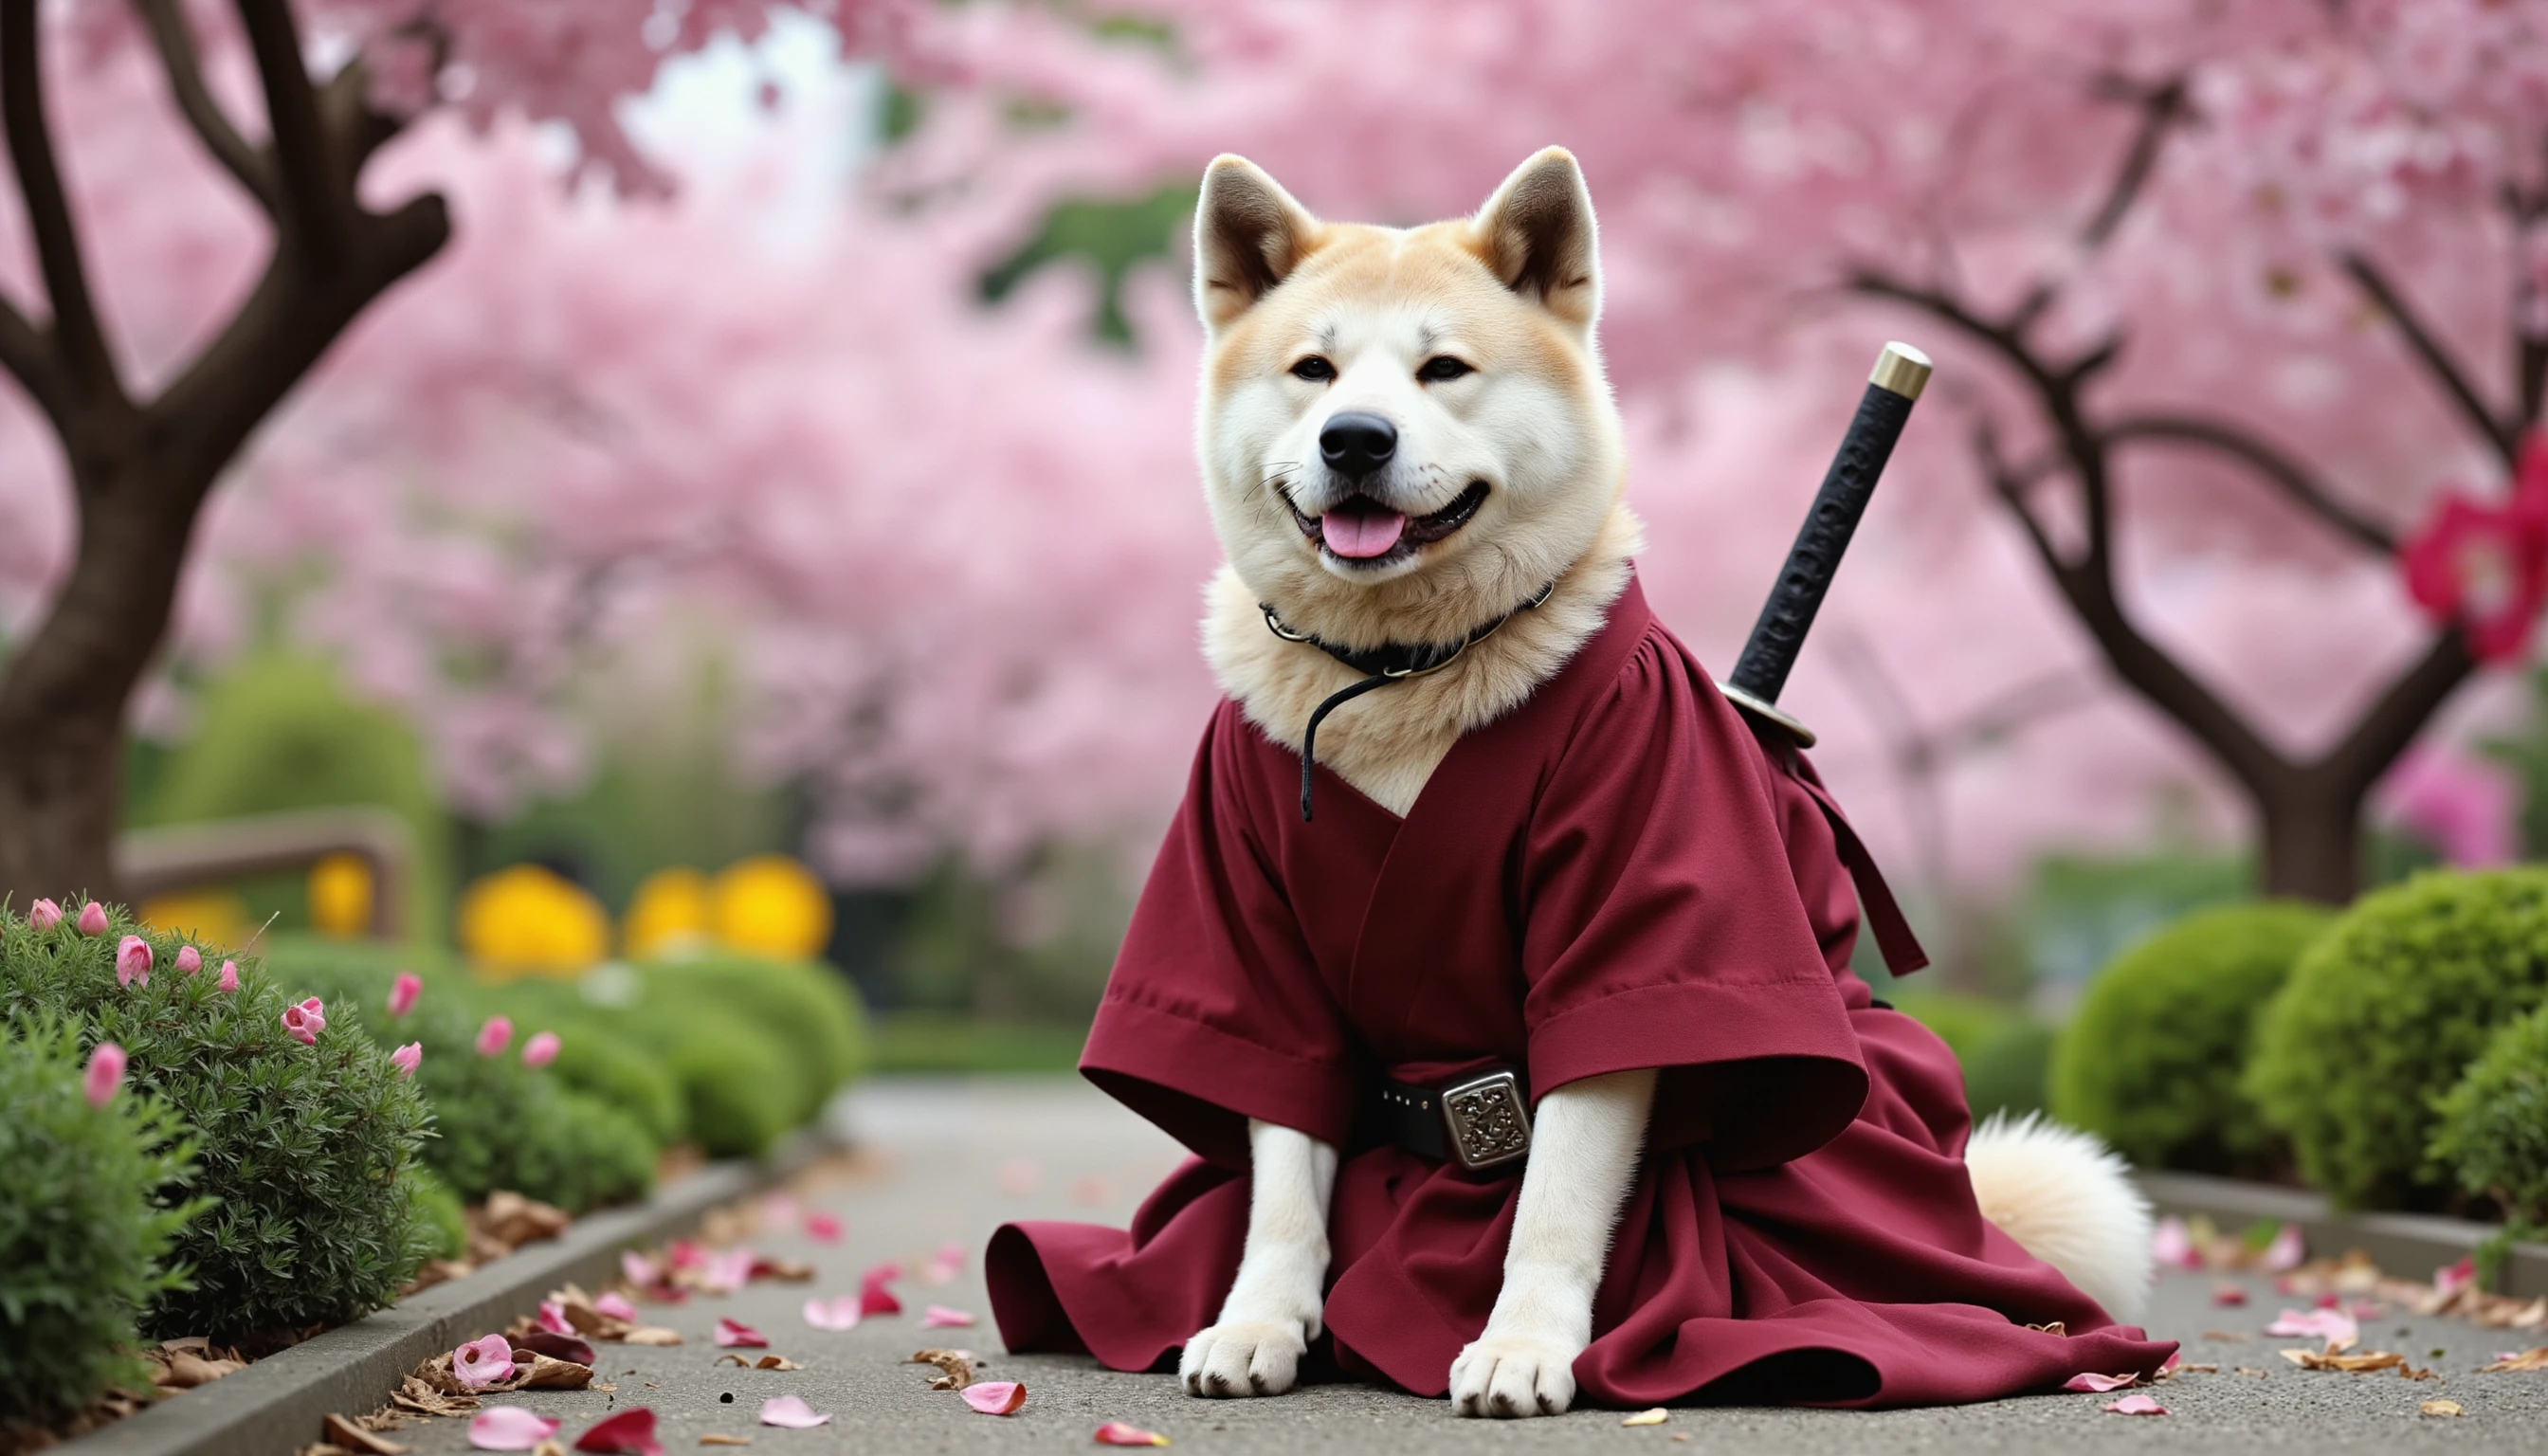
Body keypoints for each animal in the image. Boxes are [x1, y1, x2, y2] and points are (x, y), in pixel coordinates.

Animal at [1167, 154, 2150, 1417]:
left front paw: (1523, 1344)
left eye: (1444, 370)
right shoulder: (1252, 938)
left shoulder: (1635, 910)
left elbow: (1556, 1193)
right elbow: (1286, 1163)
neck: (1398, 672)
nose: (1354, 439)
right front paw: (1257, 1321)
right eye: (1313, 372)